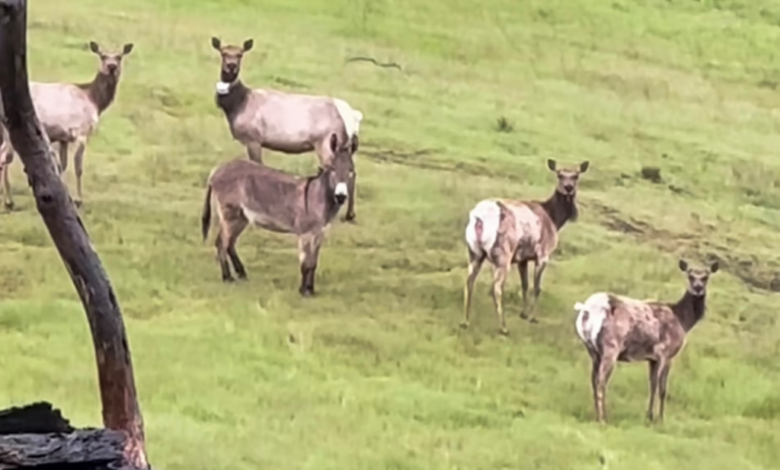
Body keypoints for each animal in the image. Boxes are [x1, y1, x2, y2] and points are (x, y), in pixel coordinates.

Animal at [1, 40, 134, 207]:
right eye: (103, 56)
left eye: (119, 57)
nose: (111, 67)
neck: (94, 101)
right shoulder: (81, 132)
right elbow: (78, 167)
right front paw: (78, 200)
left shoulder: (63, 137)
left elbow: (62, 166)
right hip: (9, 130)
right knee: (4, 158)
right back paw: (8, 201)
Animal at [201, 130, 360, 296]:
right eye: (333, 169)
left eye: (351, 171)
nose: (341, 196)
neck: (319, 196)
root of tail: (216, 171)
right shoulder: (306, 234)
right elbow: (306, 263)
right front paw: (303, 291)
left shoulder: (319, 234)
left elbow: (313, 263)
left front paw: (311, 290)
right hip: (230, 215)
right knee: (221, 243)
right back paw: (227, 278)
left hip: (241, 217)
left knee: (229, 243)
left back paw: (241, 273)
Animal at [209, 35, 364, 223]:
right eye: (223, 53)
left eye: (240, 54)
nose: (231, 66)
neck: (238, 105)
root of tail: (354, 116)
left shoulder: (254, 138)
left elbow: (257, 164)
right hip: (344, 144)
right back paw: (350, 213)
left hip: (327, 142)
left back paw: (346, 212)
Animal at [460, 158, 588, 334]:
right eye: (559, 175)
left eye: (576, 176)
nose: (568, 188)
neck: (555, 219)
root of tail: (479, 219)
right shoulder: (543, 254)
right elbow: (537, 287)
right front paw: (532, 317)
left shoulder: (523, 258)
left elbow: (525, 285)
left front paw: (523, 313)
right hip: (503, 255)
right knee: (497, 287)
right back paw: (503, 327)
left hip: (474, 252)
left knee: (468, 282)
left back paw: (465, 321)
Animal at [572, 258, 720, 424]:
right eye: (690, 276)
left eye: (706, 276)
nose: (698, 288)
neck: (683, 321)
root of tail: (588, 309)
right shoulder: (666, 353)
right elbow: (662, 389)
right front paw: (660, 419)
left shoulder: (652, 358)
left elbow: (652, 385)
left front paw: (649, 416)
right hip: (611, 346)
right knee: (601, 381)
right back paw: (603, 419)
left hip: (592, 350)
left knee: (593, 379)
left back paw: (597, 415)